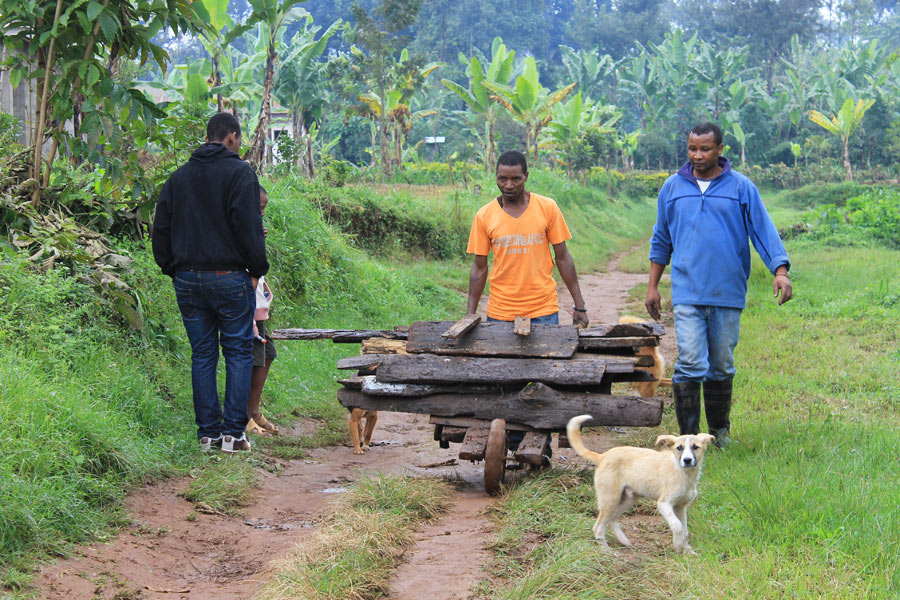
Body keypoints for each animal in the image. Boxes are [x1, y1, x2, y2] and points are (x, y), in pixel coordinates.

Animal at [568, 414, 712, 556]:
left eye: (695, 447)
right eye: (679, 448)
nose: (687, 460)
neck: (684, 473)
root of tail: (602, 456)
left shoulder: (680, 507)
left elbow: (685, 531)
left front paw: (689, 551)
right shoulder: (664, 503)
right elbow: (677, 526)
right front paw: (677, 545)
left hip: (628, 498)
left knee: (613, 518)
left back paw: (623, 540)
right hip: (610, 499)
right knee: (598, 527)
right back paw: (607, 551)